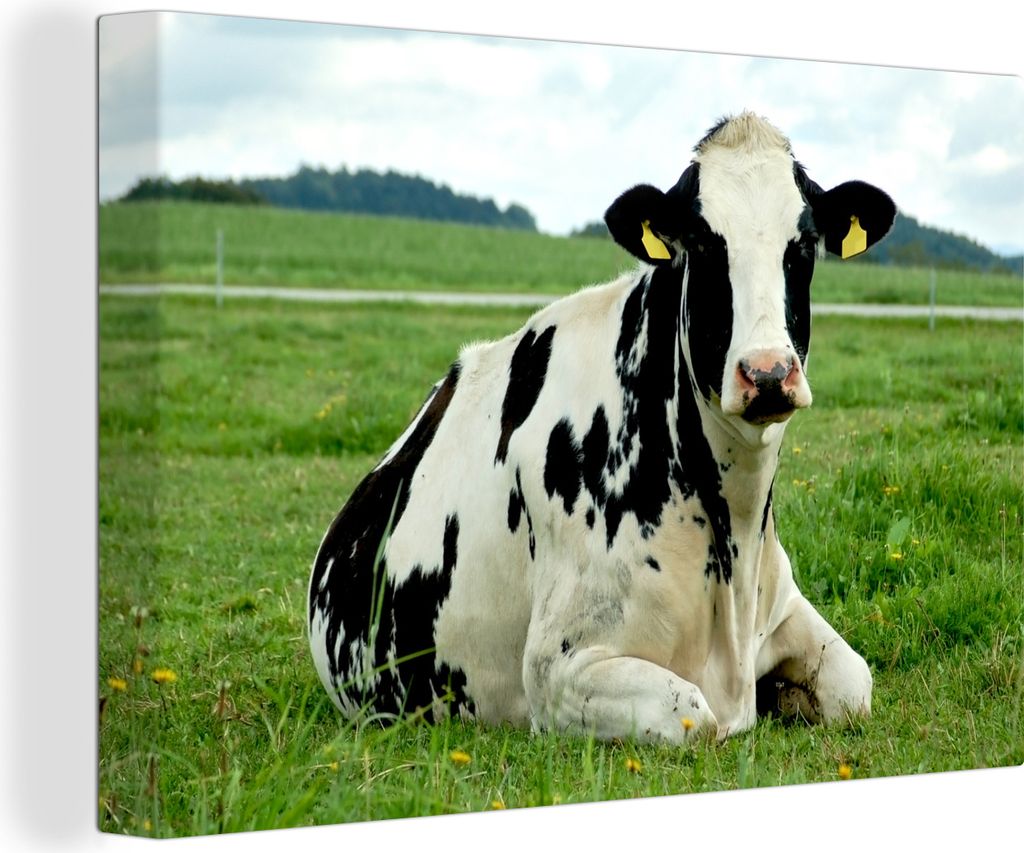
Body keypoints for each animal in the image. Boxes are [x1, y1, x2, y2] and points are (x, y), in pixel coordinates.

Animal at [307, 112, 896, 743]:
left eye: (804, 244)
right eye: (702, 242)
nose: (767, 373)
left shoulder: (783, 608)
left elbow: (854, 683)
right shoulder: (558, 670)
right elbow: (696, 716)